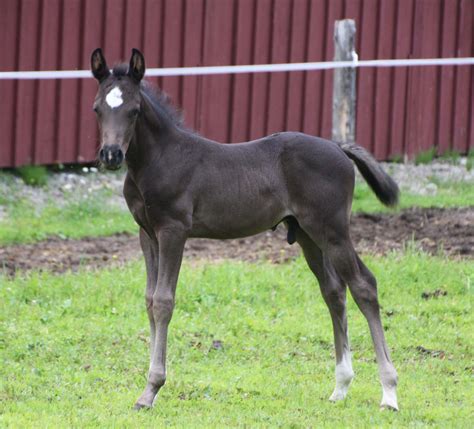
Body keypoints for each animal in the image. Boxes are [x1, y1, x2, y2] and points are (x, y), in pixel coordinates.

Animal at [91, 48, 400, 410]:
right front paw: (146, 390)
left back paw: (389, 392)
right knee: (334, 291)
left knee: (364, 285)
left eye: (135, 110)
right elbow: (150, 300)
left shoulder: (173, 230)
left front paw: (152, 388)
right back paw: (341, 386)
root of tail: (339, 147)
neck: (159, 159)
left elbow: (165, 301)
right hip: (308, 234)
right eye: (97, 109)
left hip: (333, 229)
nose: (111, 155)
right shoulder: (147, 233)